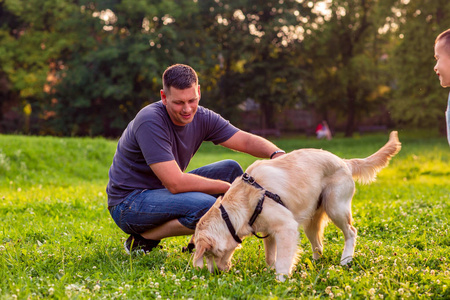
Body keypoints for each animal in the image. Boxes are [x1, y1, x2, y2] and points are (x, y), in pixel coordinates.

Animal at [192, 131, 400, 282]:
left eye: (209, 254)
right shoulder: (269, 232)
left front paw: (280, 281)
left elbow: (283, 261)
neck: (245, 200)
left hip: (335, 207)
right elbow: (271, 257)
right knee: (319, 245)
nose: (214, 274)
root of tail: (343, 161)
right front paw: (270, 270)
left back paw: (346, 259)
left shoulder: (287, 227)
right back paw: (316, 263)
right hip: (310, 221)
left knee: (351, 232)